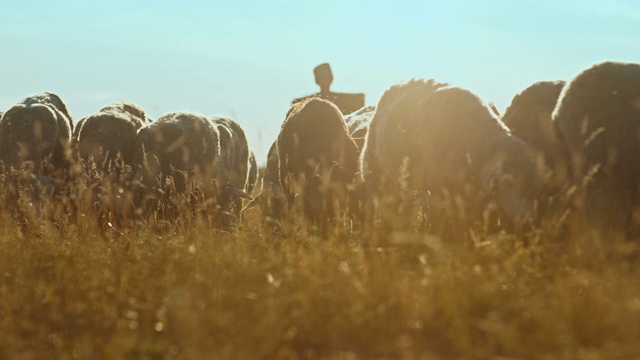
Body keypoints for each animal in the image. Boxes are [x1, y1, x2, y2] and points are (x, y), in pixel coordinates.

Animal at [360, 79, 540, 242]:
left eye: (534, 186)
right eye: (509, 182)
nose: (527, 223)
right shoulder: (438, 190)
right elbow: (439, 226)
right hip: (373, 169)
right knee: (372, 206)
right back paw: (371, 237)